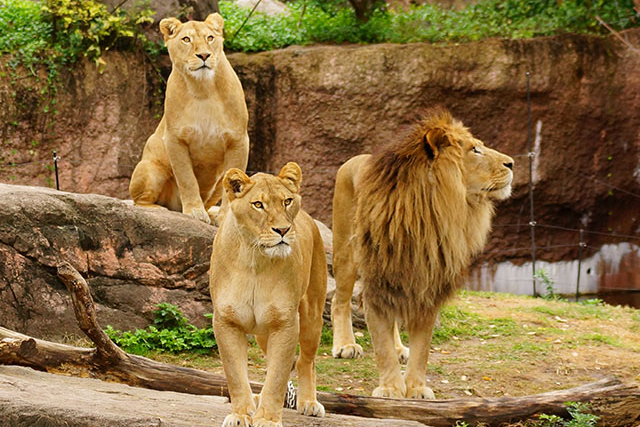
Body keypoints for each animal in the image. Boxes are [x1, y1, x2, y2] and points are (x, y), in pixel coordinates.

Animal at [129, 13, 249, 224]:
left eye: (210, 38)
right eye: (186, 39)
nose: (204, 55)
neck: (203, 89)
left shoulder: (239, 140)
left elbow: (232, 186)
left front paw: (224, 218)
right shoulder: (175, 139)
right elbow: (186, 178)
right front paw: (194, 212)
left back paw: (211, 214)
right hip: (150, 168)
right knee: (139, 202)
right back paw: (160, 210)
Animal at [212, 162, 328, 426]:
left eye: (287, 201)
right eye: (258, 204)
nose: (283, 229)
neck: (254, 259)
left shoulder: (285, 323)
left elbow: (277, 377)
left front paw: (267, 418)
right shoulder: (226, 320)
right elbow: (235, 373)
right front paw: (241, 414)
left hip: (312, 316)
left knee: (305, 361)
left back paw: (309, 402)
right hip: (264, 333)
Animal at [330, 106, 516, 398]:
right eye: (475, 149)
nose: (512, 163)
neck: (431, 214)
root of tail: (354, 159)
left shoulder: (427, 284)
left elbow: (422, 348)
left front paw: (416, 388)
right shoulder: (377, 281)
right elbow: (381, 345)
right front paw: (391, 388)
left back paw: (399, 348)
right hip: (346, 254)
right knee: (339, 300)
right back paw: (345, 345)